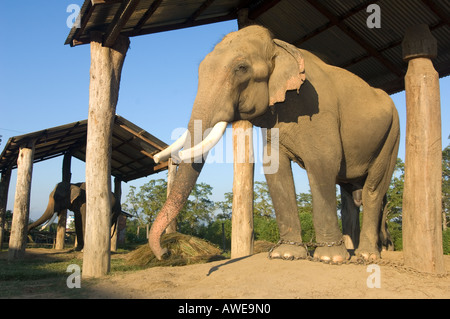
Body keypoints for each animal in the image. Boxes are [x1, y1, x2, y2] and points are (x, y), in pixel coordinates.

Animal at [149, 25, 400, 264]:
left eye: (241, 68)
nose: (166, 253)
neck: (279, 46)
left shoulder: (318, 109)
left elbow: (323, 163)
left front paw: (329, 258)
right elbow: (274, 167)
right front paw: (286, 254)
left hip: (392, 136)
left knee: (373, 189)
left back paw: (367, 256)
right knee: (350, 197)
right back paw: (353, 251)